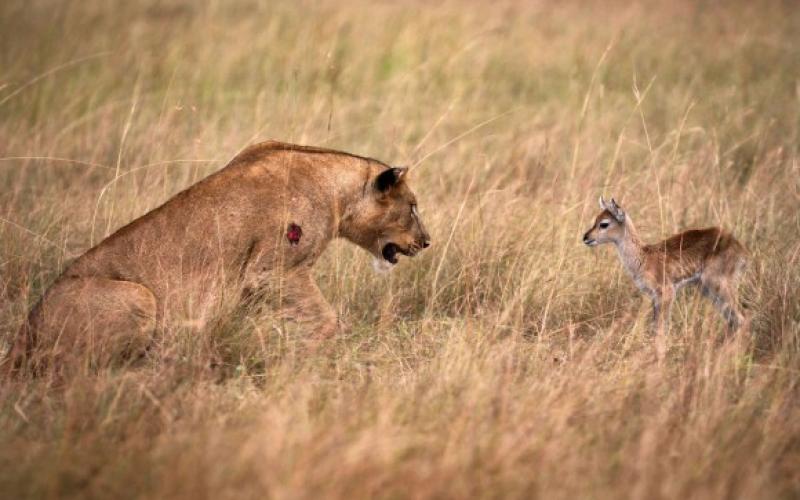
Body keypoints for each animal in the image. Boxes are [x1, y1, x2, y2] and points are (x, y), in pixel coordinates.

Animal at [580, 197, 752, 334]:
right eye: (596, 220)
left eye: (604, 223)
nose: (586, 237)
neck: (643, 257)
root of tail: (740, 248)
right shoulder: (654, 297)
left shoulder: (667, 292)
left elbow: (661, 329)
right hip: (708, 289)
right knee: (733, 320)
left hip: (719, 286)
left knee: (742, 318)